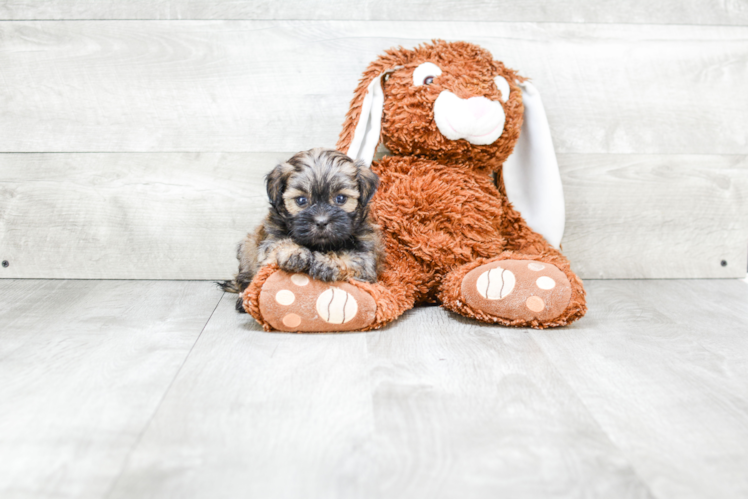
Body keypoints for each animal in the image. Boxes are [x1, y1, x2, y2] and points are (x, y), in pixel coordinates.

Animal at [221, 148, 386, 310]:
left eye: (341, 198)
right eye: (301, 200)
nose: (321, 222)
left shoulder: (367, 258)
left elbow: (355, 258)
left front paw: (328, 262)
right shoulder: (269, 241)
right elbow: (278, 244)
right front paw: (294, 252)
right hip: (247, 251)